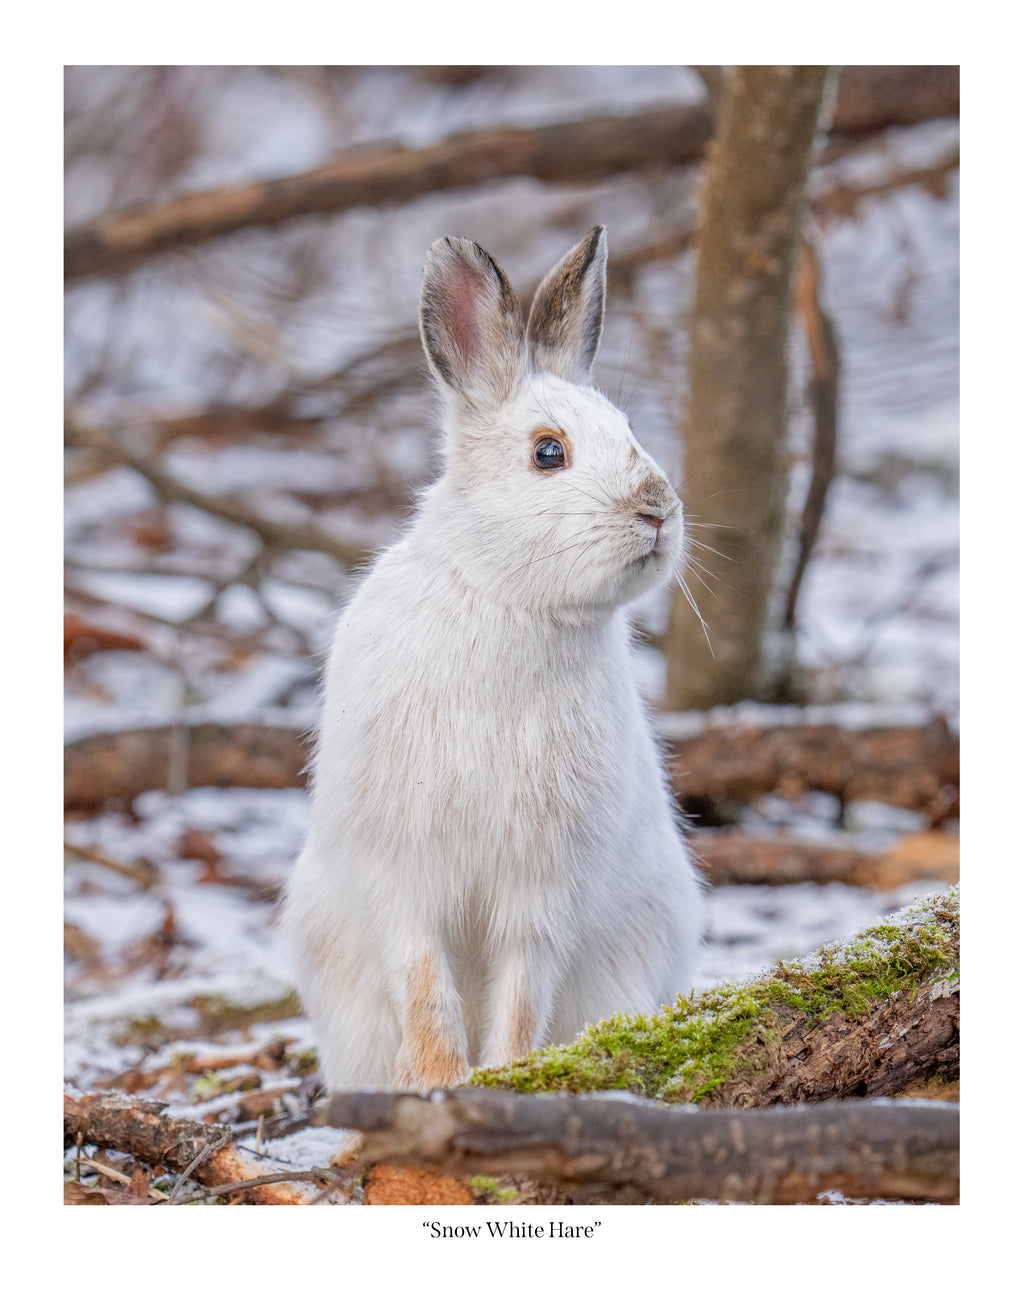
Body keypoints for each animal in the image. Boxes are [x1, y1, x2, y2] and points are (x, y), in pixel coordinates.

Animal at [281, 226, 704, 1093]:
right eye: (549, 452)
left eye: (629, 431)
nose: (659, 509)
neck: (510, 601)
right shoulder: (404, 871)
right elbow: (425, 981)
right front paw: (438, 1080)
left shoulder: (540, 889)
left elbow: (520, 991)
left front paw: (505, 1077)